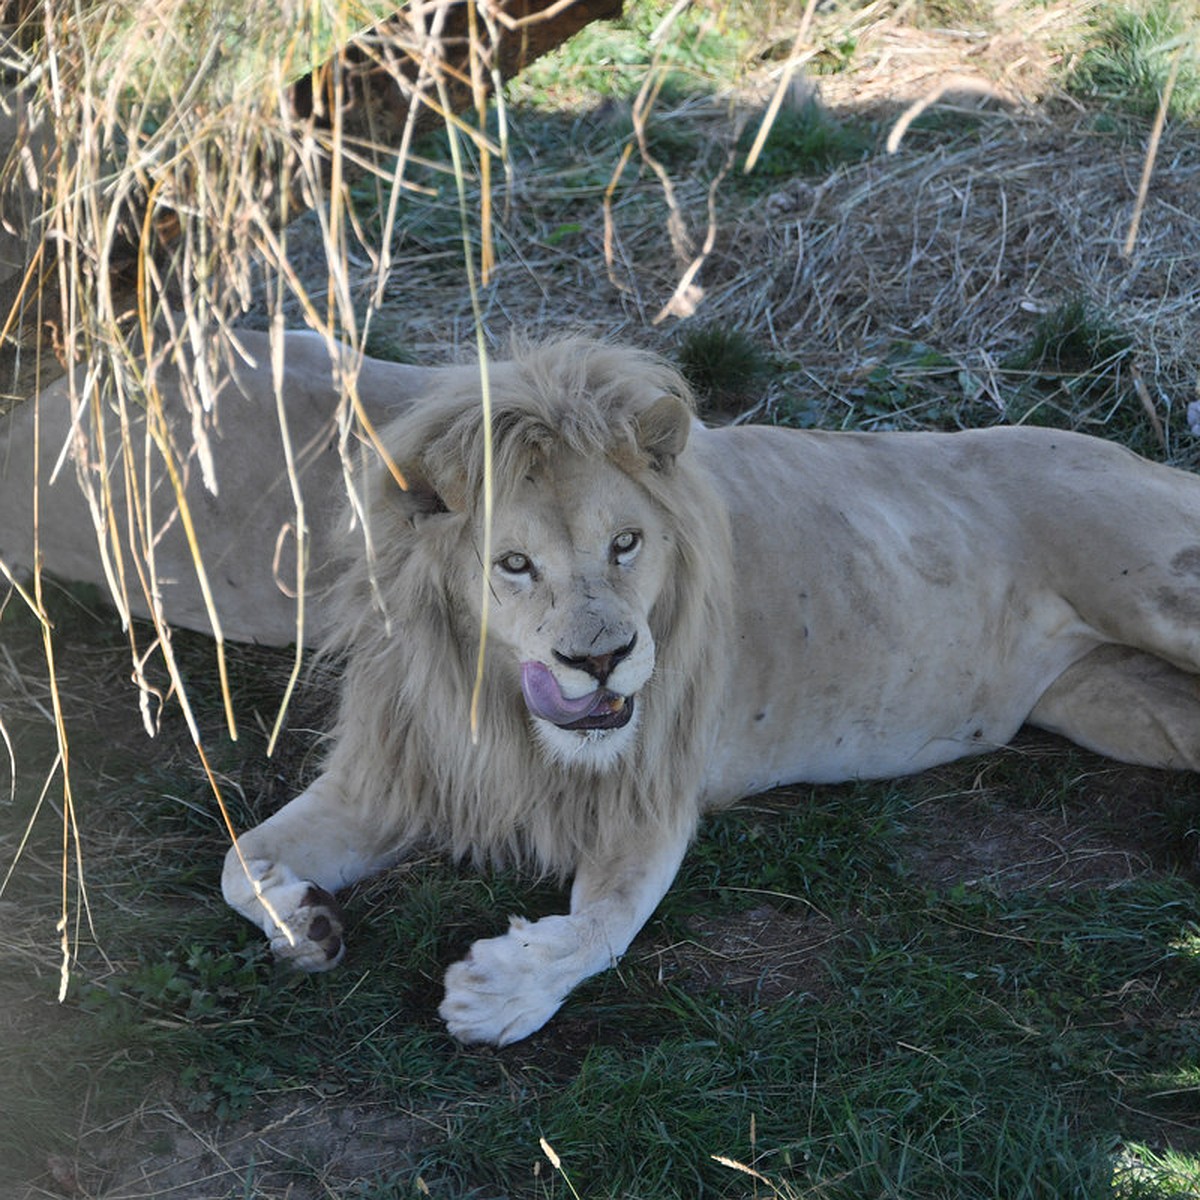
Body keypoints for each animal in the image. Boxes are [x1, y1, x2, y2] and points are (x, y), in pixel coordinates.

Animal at [223, 336, 1200, 1041]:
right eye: (514, 563)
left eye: (625, 542)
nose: (602, 661)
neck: (496, 711)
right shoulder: (394, 776)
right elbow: (236, 864)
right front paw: (304, 920)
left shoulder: (651, 791)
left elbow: (605, 924)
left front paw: (496, 993)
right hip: (1113, 699)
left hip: (1156, 593)